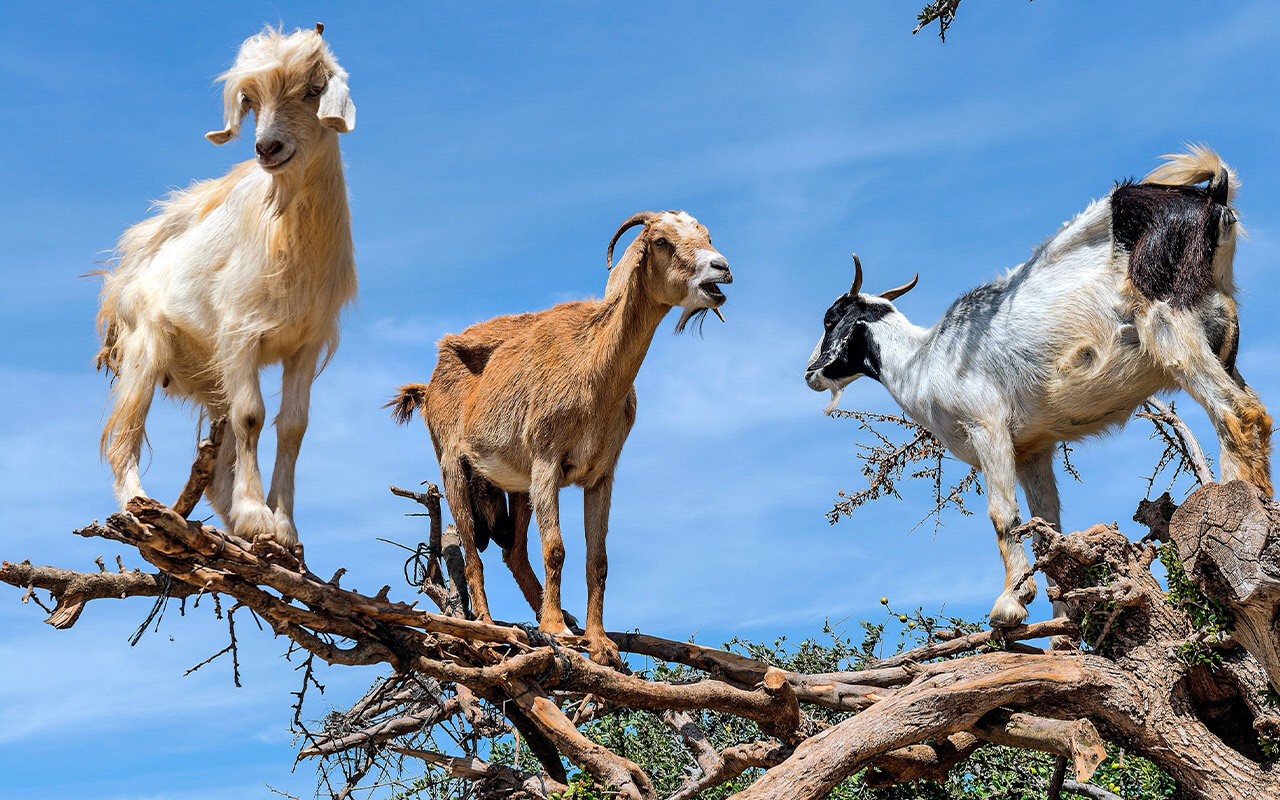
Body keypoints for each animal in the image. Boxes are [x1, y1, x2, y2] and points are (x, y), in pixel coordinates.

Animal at [96, 26, 358, 547]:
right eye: (251, 101)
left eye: (313, 90)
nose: (267, 148)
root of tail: (123, 276)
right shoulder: (241, 334)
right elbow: (252, 415)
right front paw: (258, 515)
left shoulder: (307, 342)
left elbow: (293, 426)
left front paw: (283, 528)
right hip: (145, 350)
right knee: (124, 436)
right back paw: (139, 508)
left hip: (209, 373)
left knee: (215, 472)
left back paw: (231, 525)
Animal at [386, 211, 732, 660]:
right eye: (660, 241)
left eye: (705, 234)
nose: (721, 269)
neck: (592, 370)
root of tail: (428, 385)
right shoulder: (547, 464)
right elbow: (556, 549)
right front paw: (556, 629)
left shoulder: (600, 475)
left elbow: (597, 559)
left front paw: (598, 642)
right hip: (454, 470)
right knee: (472, 554)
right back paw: (486, 627)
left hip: (516, 484)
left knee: (513, 552)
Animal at [803, 146, 1274, 627]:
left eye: (830, 320)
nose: (810, 372)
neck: (925, 359)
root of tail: (1212, 197)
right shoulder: (1033, 447)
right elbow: (1047, 527)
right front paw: (1064, 624)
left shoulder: (986, 424)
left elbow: (1002, 514)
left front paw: (1010, 603)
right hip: (1221, 334)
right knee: (1254, 410)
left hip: (1169, 321)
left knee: (1236, 411)